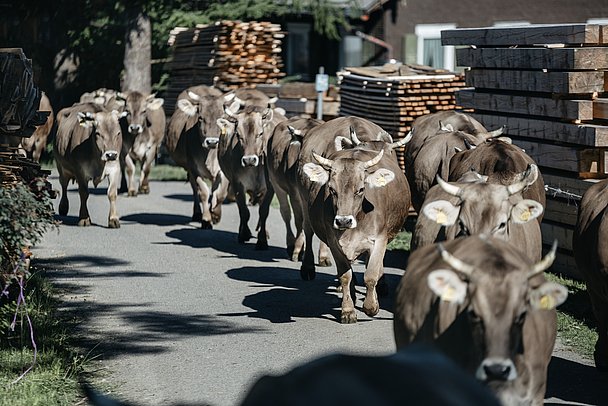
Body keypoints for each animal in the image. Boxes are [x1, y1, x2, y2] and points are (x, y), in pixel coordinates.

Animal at [164, 85, 228, 228]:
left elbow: (220, 193)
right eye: (200, 118)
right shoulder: (194, 168)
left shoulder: (223, 170)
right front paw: (207, 219)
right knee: (194, 189)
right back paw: (197, 213)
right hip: (189, 167)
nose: (212, 142)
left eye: (222, 118)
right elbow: (203, 192)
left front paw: (215, 214)